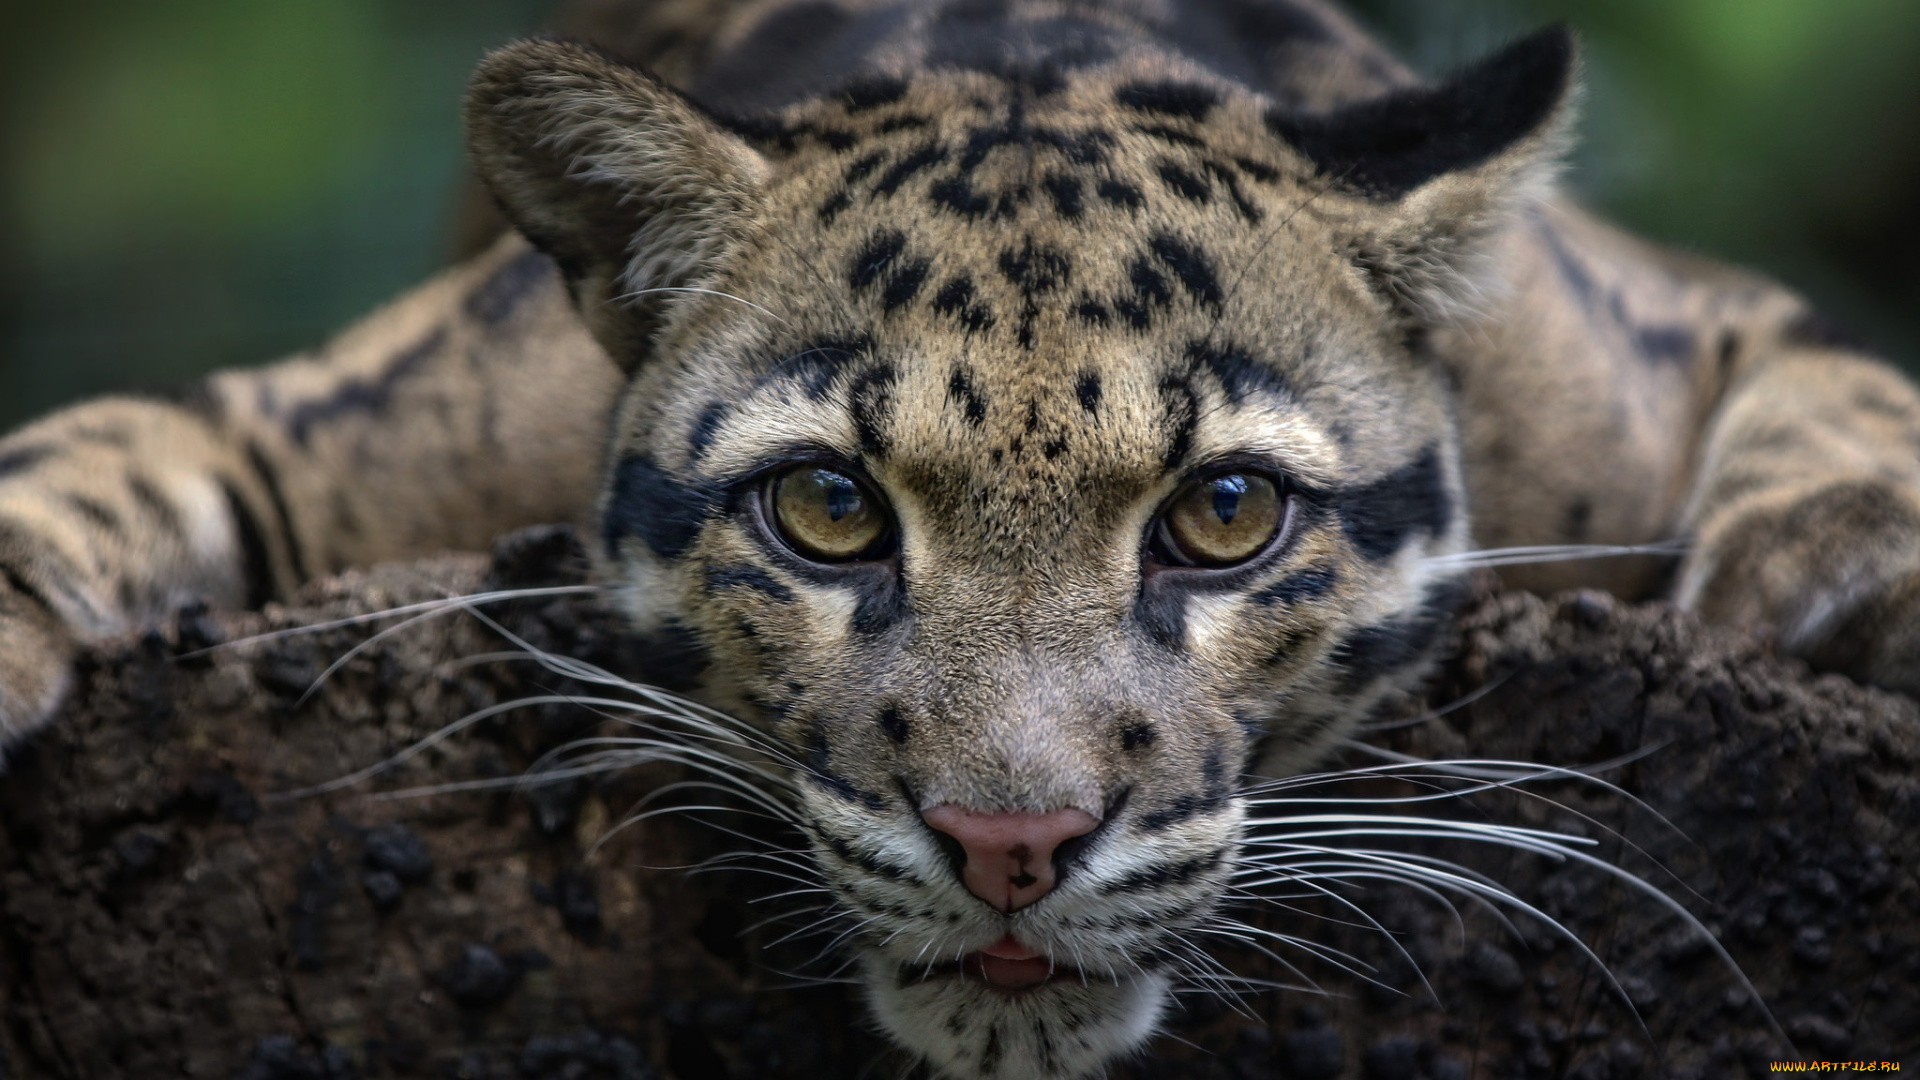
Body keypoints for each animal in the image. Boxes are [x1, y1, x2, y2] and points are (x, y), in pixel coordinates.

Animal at [3, 0, 1919, 1076]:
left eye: (1224, 514)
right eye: (829, 508)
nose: (1012, 846)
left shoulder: (1680, 324)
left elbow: (1858, 408)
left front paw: (1838, 582)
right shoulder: (314, 407)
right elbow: (78, 452)